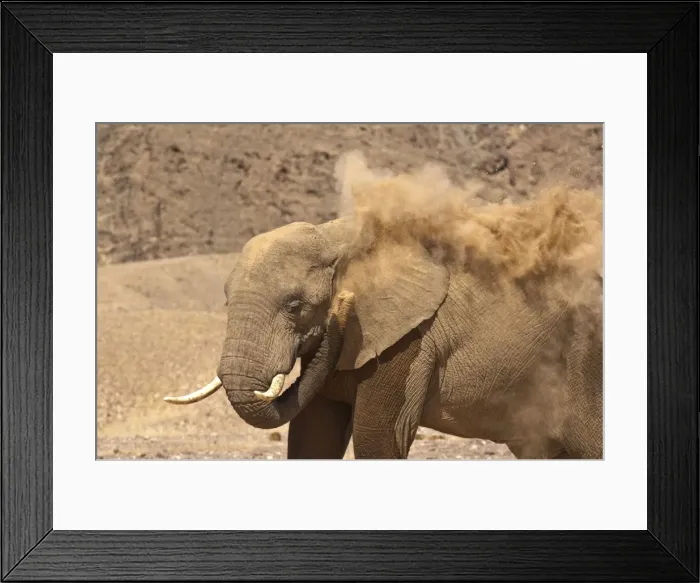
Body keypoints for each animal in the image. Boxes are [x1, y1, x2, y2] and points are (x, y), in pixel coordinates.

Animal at [164, 202, 603, 460]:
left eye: (295, 306)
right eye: (225, 301)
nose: (342, 305)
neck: (336, 236)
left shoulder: (409, 341)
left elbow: (378, 438)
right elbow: (313, 434)